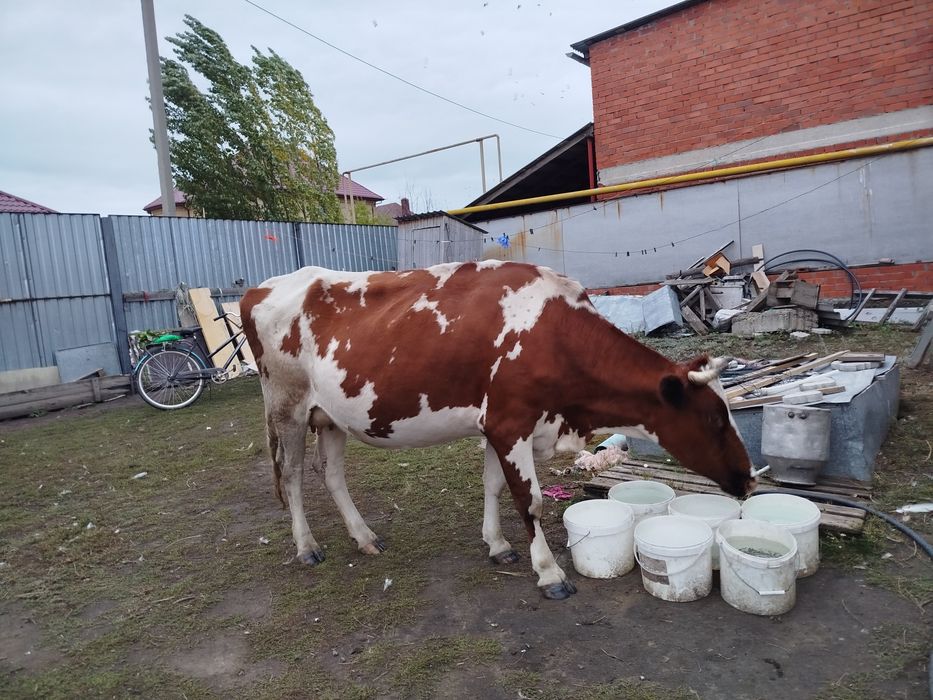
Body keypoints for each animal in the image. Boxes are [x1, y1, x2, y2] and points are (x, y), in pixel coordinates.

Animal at [240, 261, 754, 599]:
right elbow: (529, 500)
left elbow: (492, 486)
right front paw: (549, 572)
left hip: (331, 415)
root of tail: (260, 288)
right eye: (713, 418)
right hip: (286, 407)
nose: (748, 478)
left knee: (332, 475)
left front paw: (499, 546)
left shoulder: (498, 424)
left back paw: (365, 538)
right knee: (292, 478)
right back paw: (307, 547)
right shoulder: (510, 423)